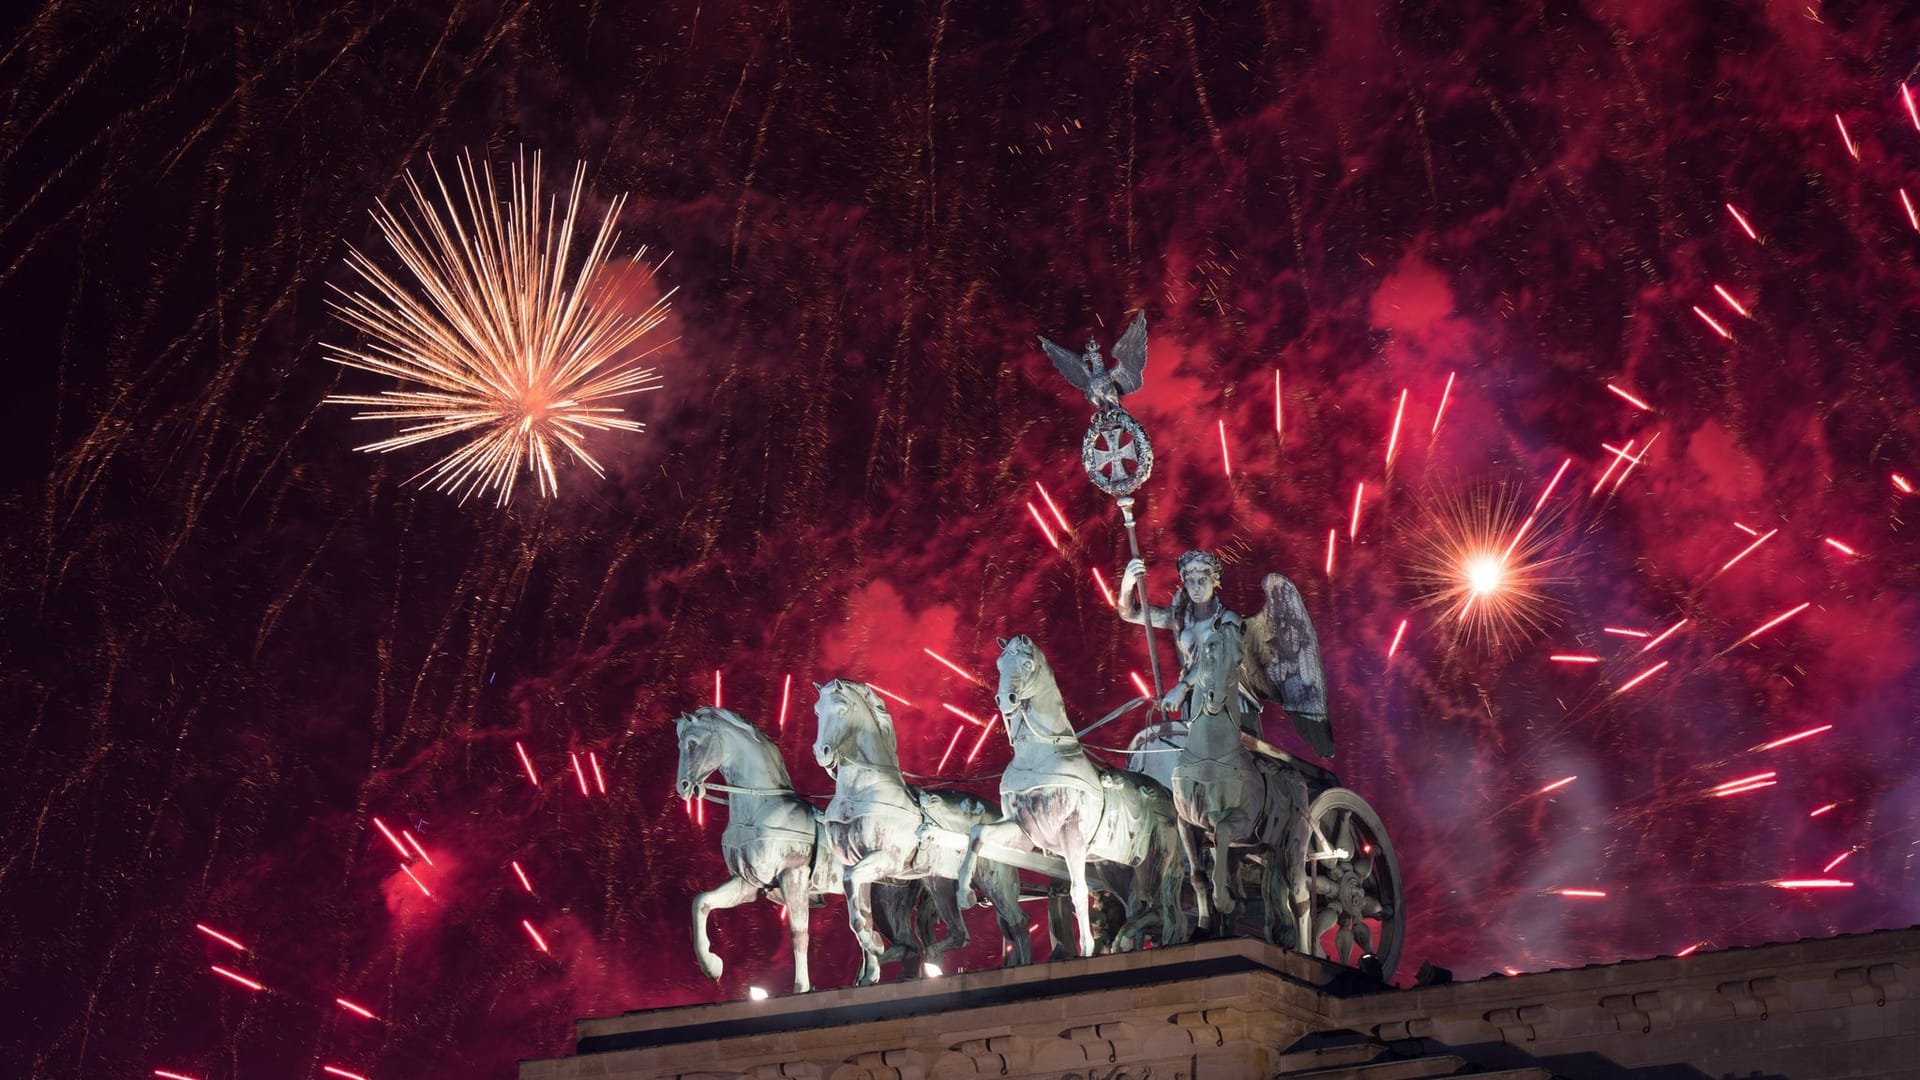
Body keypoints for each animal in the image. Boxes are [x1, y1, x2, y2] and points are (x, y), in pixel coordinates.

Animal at [806, 680, 1029, 983]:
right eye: (817, 711)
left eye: (842, 709)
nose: (822, 752)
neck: (862, 790)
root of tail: (998, 813)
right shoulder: (859, 869)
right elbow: (857, 911)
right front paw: (871, 968)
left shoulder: (884, 859)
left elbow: (855, 900)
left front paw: (875, 947)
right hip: (938, 884)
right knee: (959, 935)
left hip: (996, 881)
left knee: (1018, 923)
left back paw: (1024, 964)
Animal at [956, 634, 1182, 953]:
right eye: (999, 664)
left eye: (1027, 664)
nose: (1005, 699)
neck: (1040, 755)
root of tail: (1166, 794)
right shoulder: (1023, 829)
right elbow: (978, 833)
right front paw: (963, 894)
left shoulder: (1071, 832)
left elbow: (1078, 888)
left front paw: (1086, 948)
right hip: (1116, 867)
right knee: (1142, 907)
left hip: (1157, 859)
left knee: (1159, 908)